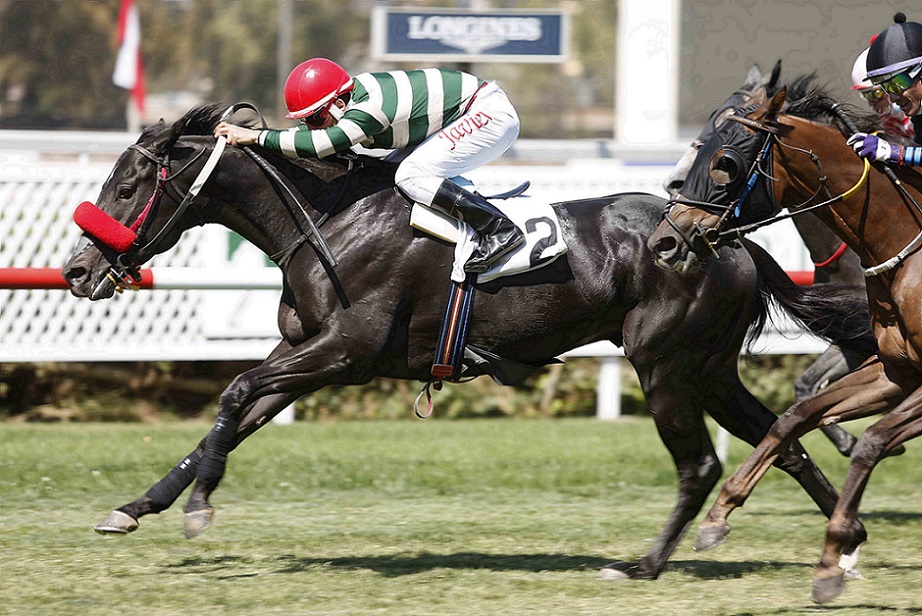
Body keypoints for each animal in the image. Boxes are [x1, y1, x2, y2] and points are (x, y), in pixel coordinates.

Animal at [62, 103, 872, 582]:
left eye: (129, 185)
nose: (76, 271)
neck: (329, 219)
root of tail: (727, 239)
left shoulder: (345, 351)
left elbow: (232, 392)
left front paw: (198, 508)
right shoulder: (308, 358)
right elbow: (228, 420)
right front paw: (139, 506)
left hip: (664, 364)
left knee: (701, 462)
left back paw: (643, 564)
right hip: (710, 367)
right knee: (783, 438)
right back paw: (847, 540)